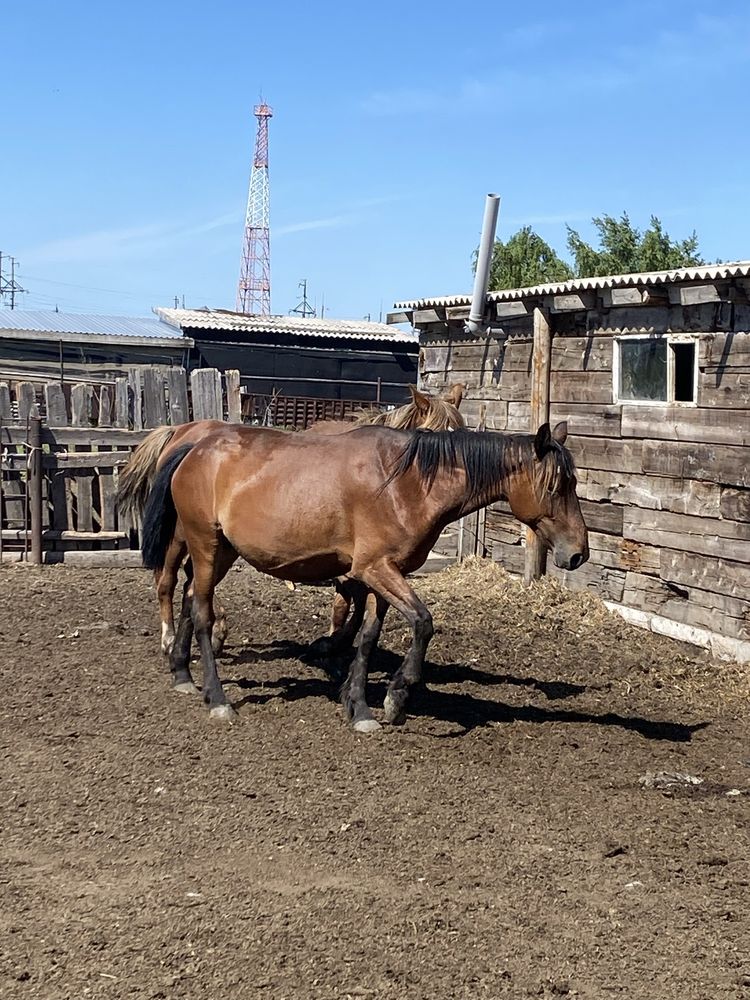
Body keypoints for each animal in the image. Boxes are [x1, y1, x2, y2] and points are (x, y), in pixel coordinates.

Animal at [115, 382, 468, 656]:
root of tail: (181, 432)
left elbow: (353, 600)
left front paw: (336, 641)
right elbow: (348, 601)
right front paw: (332, 641)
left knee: (194, 580)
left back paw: (214, 631)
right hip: (180, 533)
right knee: (168, 579)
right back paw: (171, 638)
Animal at [140, 418, 588, 732]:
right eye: (556, 485)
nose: (578, 553)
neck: (406, 483)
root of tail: (195, 445)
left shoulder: (380, 576)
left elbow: (368, 638)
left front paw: (359, 708)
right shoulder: (375, 569)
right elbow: (423, 622)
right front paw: (396, 697)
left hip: (222, 552)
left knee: (188, 599)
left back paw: (183, 674)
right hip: (204, 545)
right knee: (199, 611)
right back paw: (217, 699)